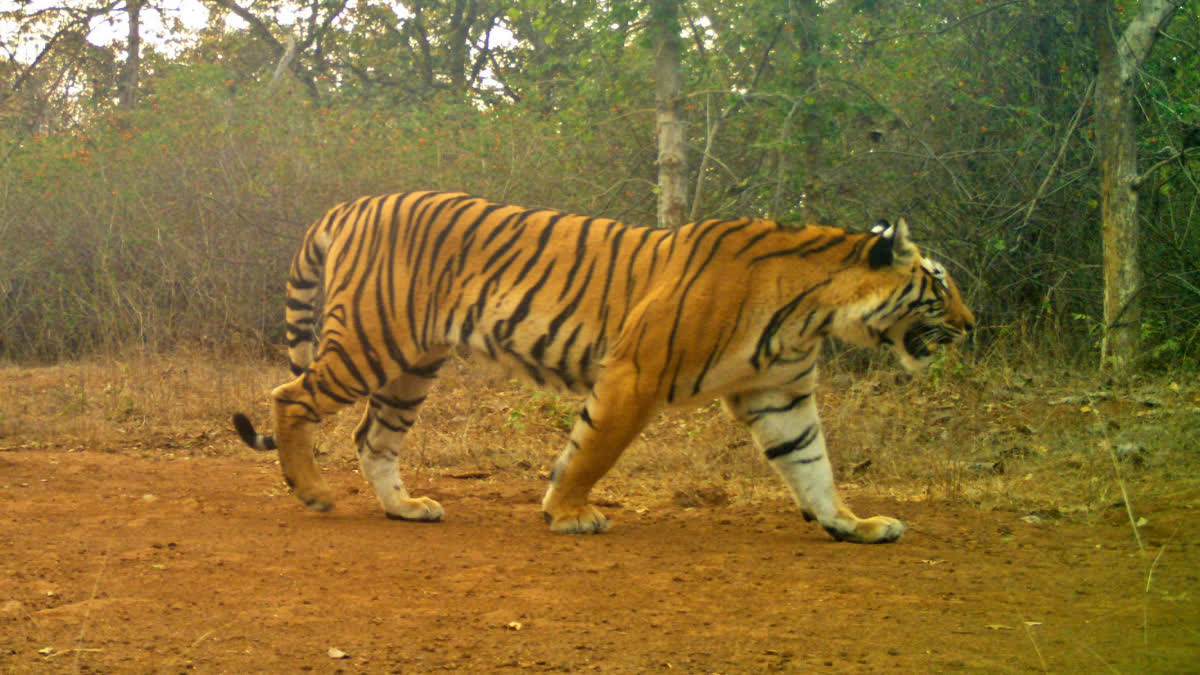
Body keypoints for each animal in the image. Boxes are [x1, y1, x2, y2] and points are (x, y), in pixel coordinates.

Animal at [234, 187, 974, 540]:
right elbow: (592, 451)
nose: (970, 327)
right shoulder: (635, 373)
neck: (814, 312)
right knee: (288, 396)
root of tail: (351, 203)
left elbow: (813, 467)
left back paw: (406, 509)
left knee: (372, 437)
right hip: (369, 343)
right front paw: (567, 513)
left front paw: (853, 525)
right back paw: (313, 490)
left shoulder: (781, 396)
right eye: (939, 285)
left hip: (411, 365)